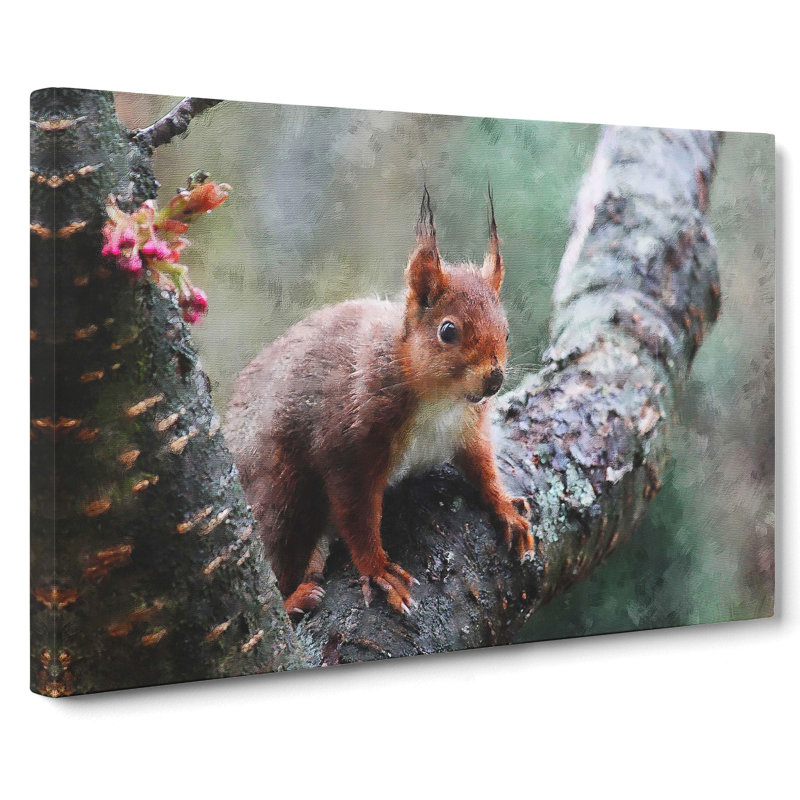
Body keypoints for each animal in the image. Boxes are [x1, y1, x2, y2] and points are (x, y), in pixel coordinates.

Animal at [225, 188, 533, 617]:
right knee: (278, 557)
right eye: (448, 330)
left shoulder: (468, 428)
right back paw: (294, 599)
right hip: (281, 493)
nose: (495, 378)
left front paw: (505, 507)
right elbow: (358, 516)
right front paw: (378, 570)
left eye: (506, 332)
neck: (441, 401)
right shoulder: (350, 441)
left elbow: (483, 466)